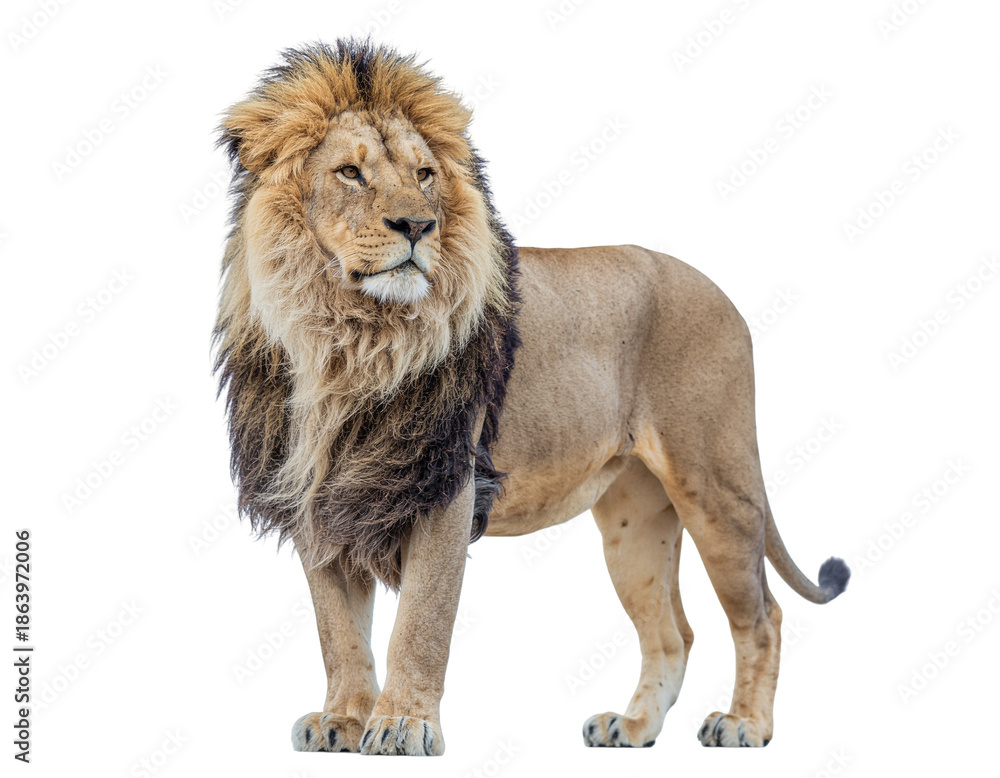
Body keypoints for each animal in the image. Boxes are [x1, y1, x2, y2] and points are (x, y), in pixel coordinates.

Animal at [214, 40, 849, 756]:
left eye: (425, 175)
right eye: (350, 173)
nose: (417, 225)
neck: (347, 339)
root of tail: (721, 292)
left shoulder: (448, 485)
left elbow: (420, 625)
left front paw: (403, 724)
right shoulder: (318, 499)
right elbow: (339, 633)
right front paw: (344, 721)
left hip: (715, 482)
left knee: (763, 614)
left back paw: (745, 724)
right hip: (634, 522)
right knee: (672, 632)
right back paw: (632, 726)